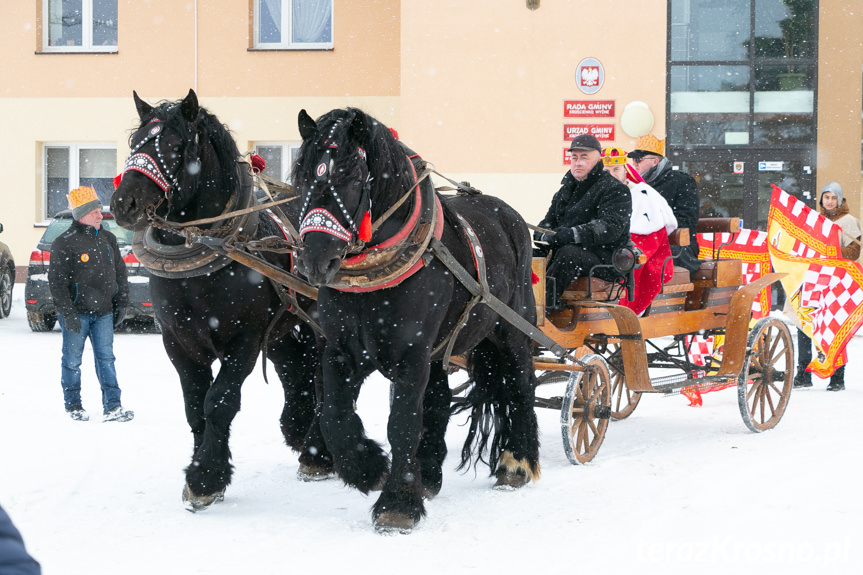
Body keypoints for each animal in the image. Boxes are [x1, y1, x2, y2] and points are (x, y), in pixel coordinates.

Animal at [111, 91, 334, 512]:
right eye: (135, 143)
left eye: (176, 145)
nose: (123, 203)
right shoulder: (177, 341)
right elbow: (194, 405)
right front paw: (200, 470)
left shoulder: (244, 339)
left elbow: (219, 401)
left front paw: (206, 478)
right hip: (284, 328)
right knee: (295, 370)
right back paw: (299, 433)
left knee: (320, 376)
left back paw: (319, 452)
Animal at [296, 107, 540, 532]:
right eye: (303, 175)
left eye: (352, 177)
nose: (314, 260)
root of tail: (510, 216)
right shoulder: (342, 351)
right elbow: (334, 415)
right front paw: (370, 468)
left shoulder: (411, 354)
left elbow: (403, 423)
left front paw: (397, 503)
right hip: (441, 348)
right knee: (440, 399)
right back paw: (427, 473)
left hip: (512, 327)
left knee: (520, 382)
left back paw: (517, 463)